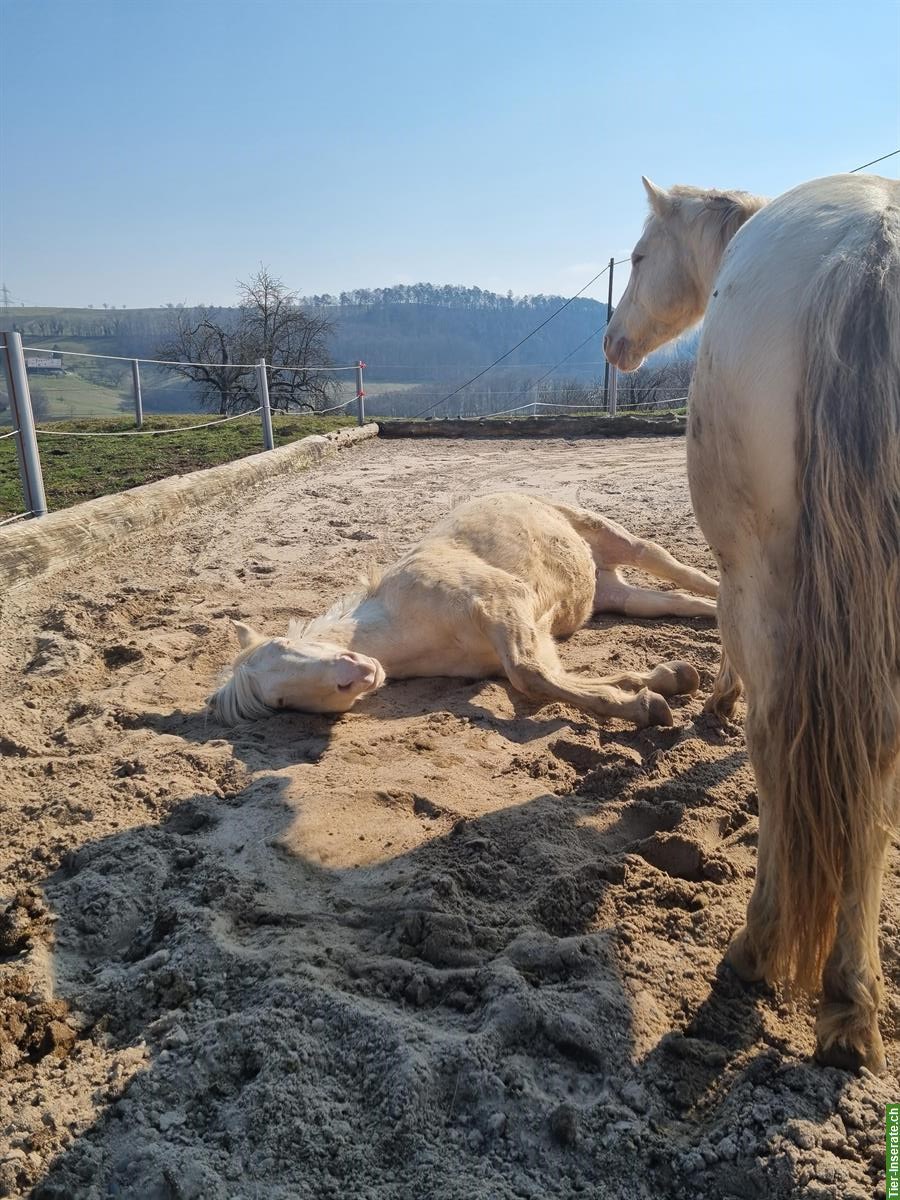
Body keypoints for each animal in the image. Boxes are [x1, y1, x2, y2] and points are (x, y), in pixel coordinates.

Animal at [210, 489, 720, 729]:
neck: (410, 620)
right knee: (680, 602)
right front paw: (662, 684)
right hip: (613, 593)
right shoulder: (523, 637)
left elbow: (530, 676)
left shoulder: (504, 603)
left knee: (673, 565)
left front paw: (646, 705)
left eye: (286, 644)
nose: (359, 672)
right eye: (279, 702)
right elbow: (547, 678)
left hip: (613, 539)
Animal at [607, 175, 900, 1070]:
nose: (612, 343)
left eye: (639, 256)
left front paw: (715, 699)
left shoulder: (739, 577)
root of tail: (873, 249)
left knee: (781, 743)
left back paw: (763, 948)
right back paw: (850, 1003)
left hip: (764, 574)